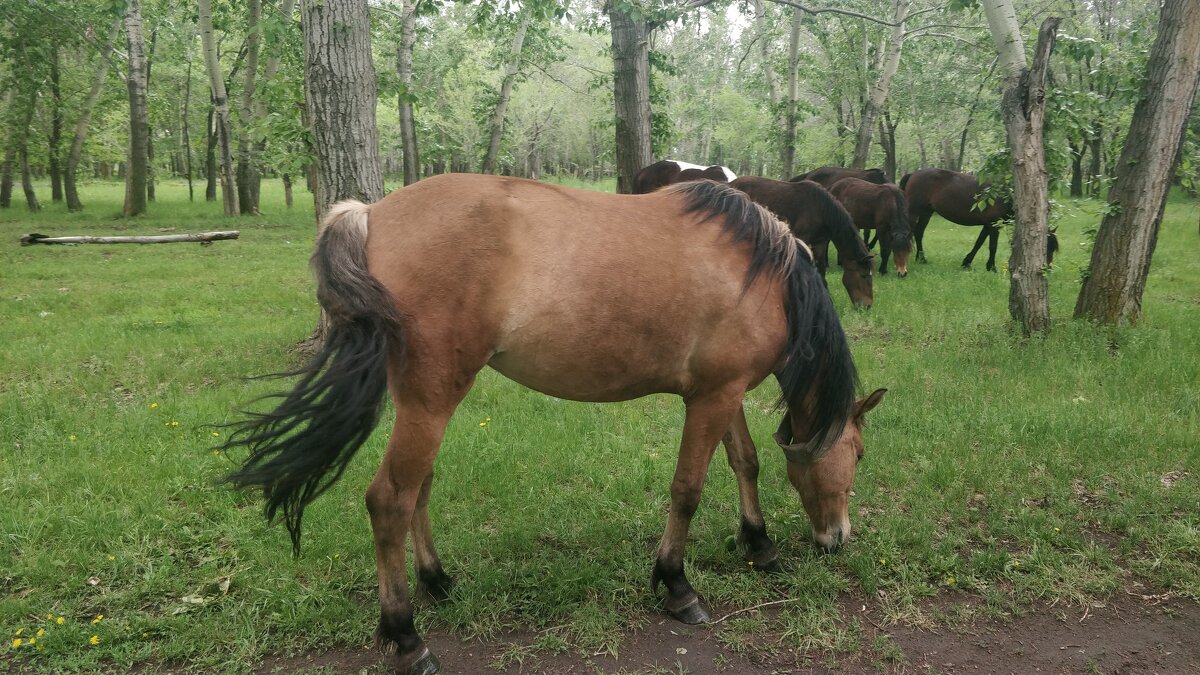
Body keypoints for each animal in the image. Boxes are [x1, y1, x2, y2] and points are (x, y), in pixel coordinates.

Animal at [724, 176, 878, 307]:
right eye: (864, 276)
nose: (867, 306)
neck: (821, 209)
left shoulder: (820, 243)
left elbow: (821, 270)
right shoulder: (802, 239)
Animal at [902, 166, 1060, 269]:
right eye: (1046, 246)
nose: (1047, 268)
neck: (1005, 195)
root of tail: (913, 173)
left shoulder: (988, 225)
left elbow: (978, 243)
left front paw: (967, 262)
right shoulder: (994, 225)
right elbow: (992, 246)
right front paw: (991, 267)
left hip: (926, 213)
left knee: (919, 233)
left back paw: (921, 259)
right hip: (914, 211)